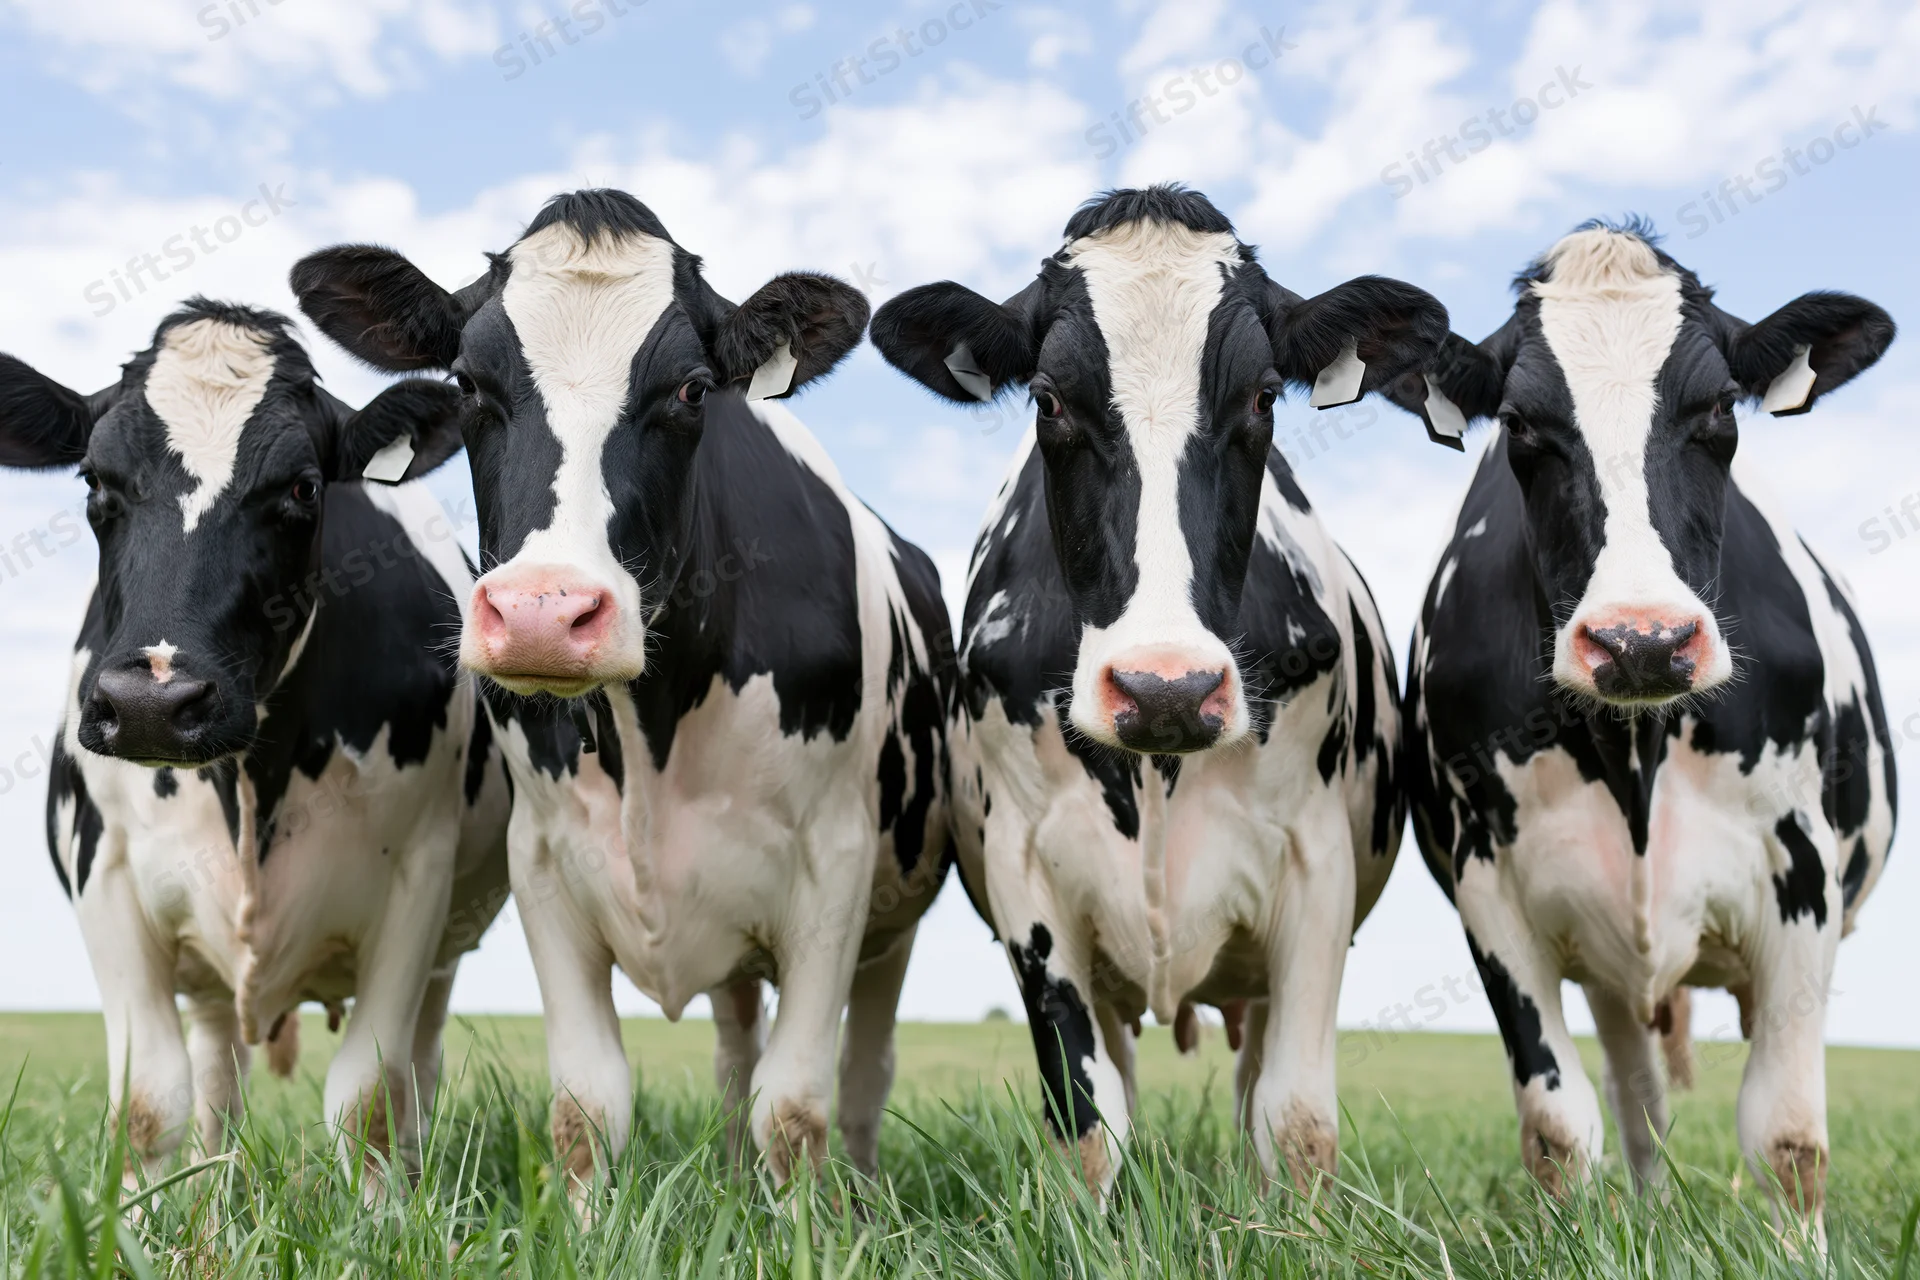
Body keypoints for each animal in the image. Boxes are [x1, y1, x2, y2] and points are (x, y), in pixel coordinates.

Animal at [0, 299, 511, 1183]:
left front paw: (383, 1211)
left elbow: (369, 1101)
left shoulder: (417, 879)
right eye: (95, 481)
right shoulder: (105, 871)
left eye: (302, 487)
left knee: (420, 1064)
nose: (151, 703)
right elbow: (149, 1105)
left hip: (447, 945)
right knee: (217, 1071)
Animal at [288, 188, 953, 1194]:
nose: (541, 613)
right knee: (734, 1048)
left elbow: (794, 1110)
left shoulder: (834, 867)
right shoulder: (545, 863)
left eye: (691, 389)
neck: (654, 729)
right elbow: (587, 1105)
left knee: (863, 1074)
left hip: (893, 918)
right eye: (469, 384)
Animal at [868, 185, 1449, 1193]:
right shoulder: (1027, 872)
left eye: (1263, 396)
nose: (1165, 690)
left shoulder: (1317, 864)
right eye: (1048, 399)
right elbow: (1089, 1124)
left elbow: (1296, 1122)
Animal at [1380, 219, 1896, 1236]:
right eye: (1520, 425)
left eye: (1721, 409)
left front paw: (1802, 1251)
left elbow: (1788, 1134)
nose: (1642, 640)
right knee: (1637, 1099)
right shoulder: (1491, 887)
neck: (1636, 749)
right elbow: (1559, 1127)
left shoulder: (1801, 874)